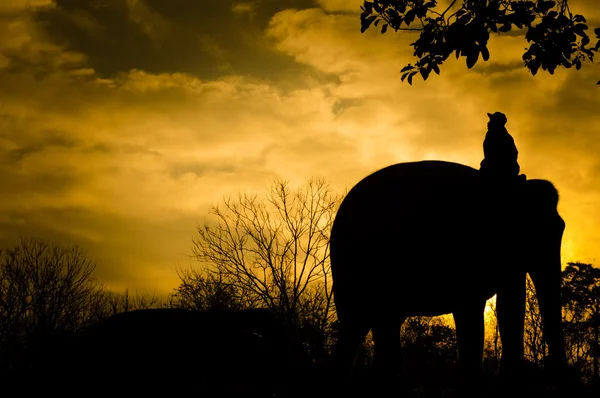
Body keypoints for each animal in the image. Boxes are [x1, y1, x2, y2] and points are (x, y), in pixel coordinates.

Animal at [328, 160, 568, 394]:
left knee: (377, 326)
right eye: (533, 231)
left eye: (561, 228)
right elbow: (474, 312)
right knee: (359, 324)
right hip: (355, 268)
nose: (549, 374)